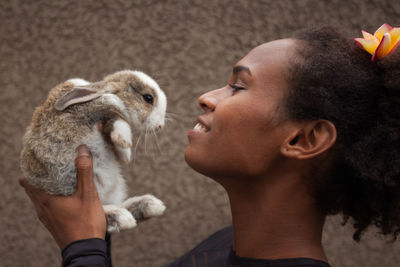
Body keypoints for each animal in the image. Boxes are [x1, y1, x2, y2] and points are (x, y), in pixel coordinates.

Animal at [19, 70, 167, 233]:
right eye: (148, 98)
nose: (160, 126)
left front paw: (125, 154)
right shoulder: (97, 108)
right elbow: (116, 113)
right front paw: (125, 141)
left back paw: (149, 205)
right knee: (102, 212)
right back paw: (120, 216)